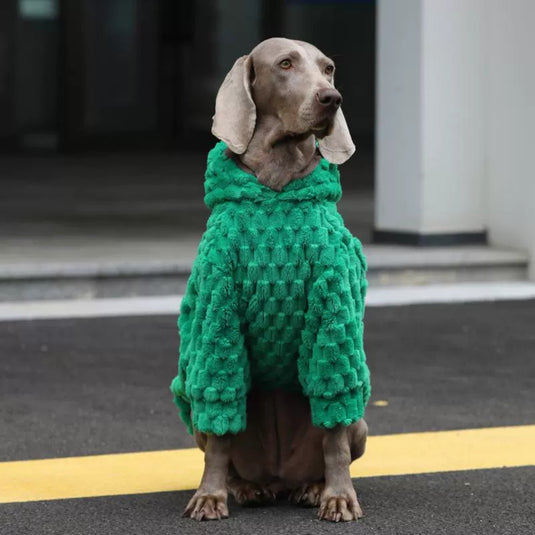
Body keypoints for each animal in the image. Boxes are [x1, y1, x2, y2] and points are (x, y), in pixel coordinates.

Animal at [184, 37, 368, 524]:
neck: (277, 190)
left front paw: (339, 497)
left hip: (361, 420)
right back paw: (245, 487)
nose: (331, 98)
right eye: (285, 64)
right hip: (193, 409)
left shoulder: (332, 319)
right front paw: (210, 496)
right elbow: (221, 431)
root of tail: (279, 477)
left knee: (337, 439)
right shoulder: (219, 317)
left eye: (329, 68)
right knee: (222, 443)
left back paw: (312, 487)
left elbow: (334, 436)